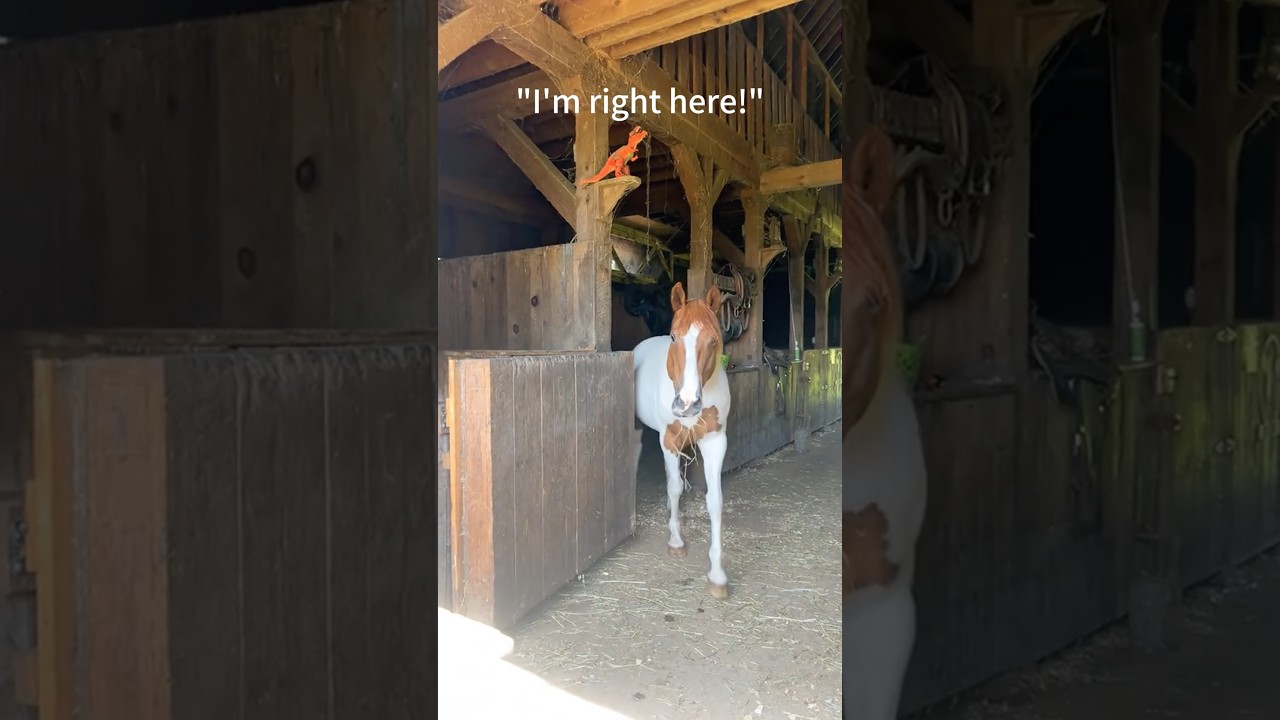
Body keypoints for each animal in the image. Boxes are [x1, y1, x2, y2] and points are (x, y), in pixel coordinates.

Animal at [630, 282, 733, 599]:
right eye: (675, 336)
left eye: (713, 340)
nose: (687, 404)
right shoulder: (670, 439)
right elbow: (676, 488)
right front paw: (676, 541)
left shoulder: (715, 442)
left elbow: (715, 501)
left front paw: (717, 575)